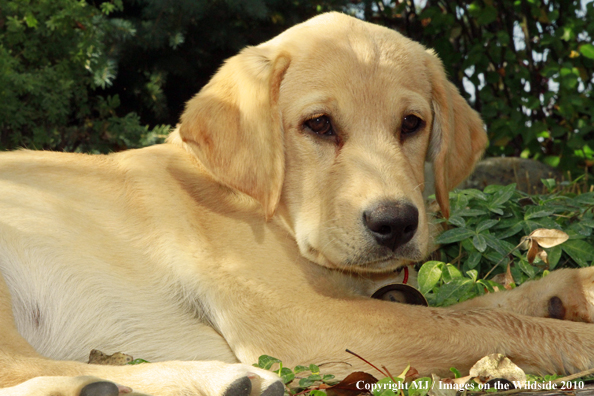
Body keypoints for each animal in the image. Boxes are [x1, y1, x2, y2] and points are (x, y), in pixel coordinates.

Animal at [1, 10, 592, 396]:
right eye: (319, 125)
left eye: (412, 124)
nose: (395, 224)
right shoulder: (310, 321)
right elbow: (479, 325)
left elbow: (476, 309)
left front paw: (571, 290)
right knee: (18, 365)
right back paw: (213, 379)